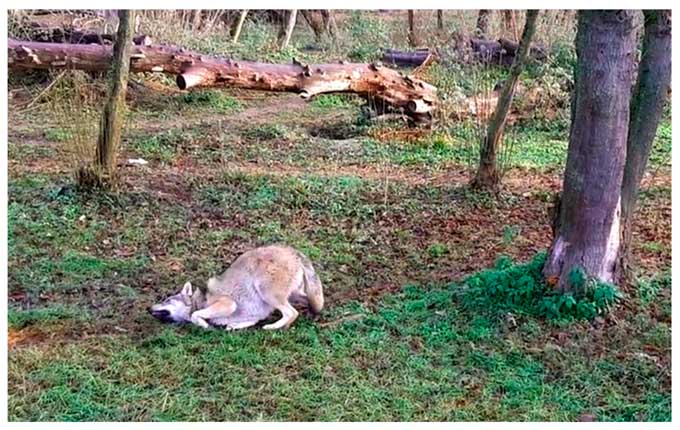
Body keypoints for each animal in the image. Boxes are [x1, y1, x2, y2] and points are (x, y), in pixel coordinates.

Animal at [148, 244, 324, 330]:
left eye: (166, 300)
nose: (148, 309)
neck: (200, 301)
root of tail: (292, 251)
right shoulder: (251, 317)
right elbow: (234, 325)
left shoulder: (227, 303)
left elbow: (195, 315)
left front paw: (204, 324)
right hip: (295, 295)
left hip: (266, 292)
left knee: (292, 313)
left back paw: (273, 327)